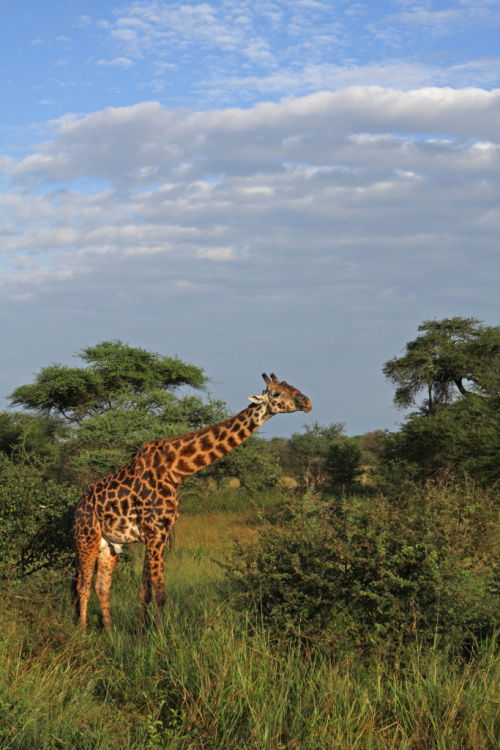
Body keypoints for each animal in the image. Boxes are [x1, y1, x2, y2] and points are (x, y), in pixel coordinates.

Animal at [73, 373, 312, 630]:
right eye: (276, 393)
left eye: (293, 387)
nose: (307, 402)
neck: (176, 470)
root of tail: (78, 506)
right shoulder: (155, 531)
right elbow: (159, 592)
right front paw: (162, 635)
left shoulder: (158, 532)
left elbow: (144, 591)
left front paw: (140, 633)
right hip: (86, 537)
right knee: (82, 585)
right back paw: (82, 632)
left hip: (109, 545)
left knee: (101, 586)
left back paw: (108, 633)